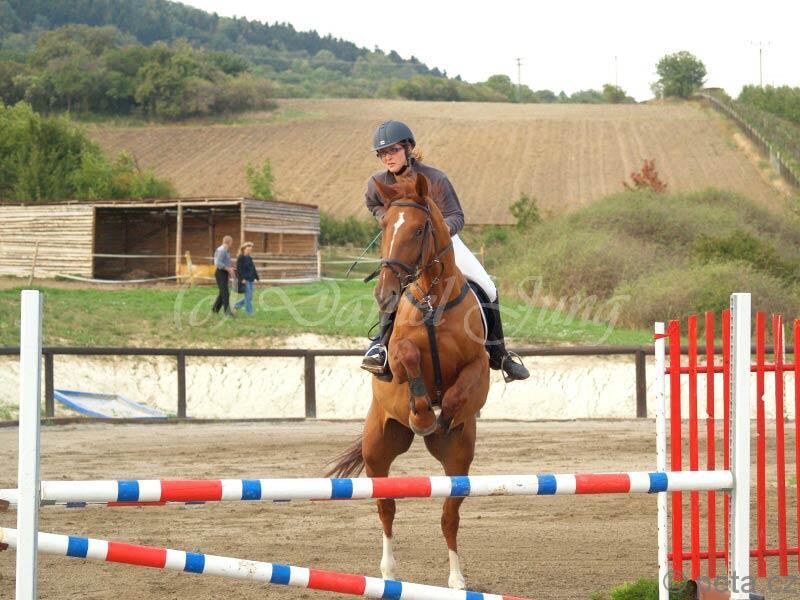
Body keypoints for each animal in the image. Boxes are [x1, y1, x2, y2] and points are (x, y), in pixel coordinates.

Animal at [327, 171, 490, 589]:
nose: (385, 293)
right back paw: (388, 572)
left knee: (450, 515)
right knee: (386, 506)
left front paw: (440, 416)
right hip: (378, 446)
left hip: (459, 461)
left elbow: (459, 393)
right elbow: (408, 357)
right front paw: (423, 413)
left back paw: (456, 579)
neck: (433, 299)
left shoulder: (479, 366)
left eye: (419, 229)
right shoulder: (401, 359)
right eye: (384, 226)